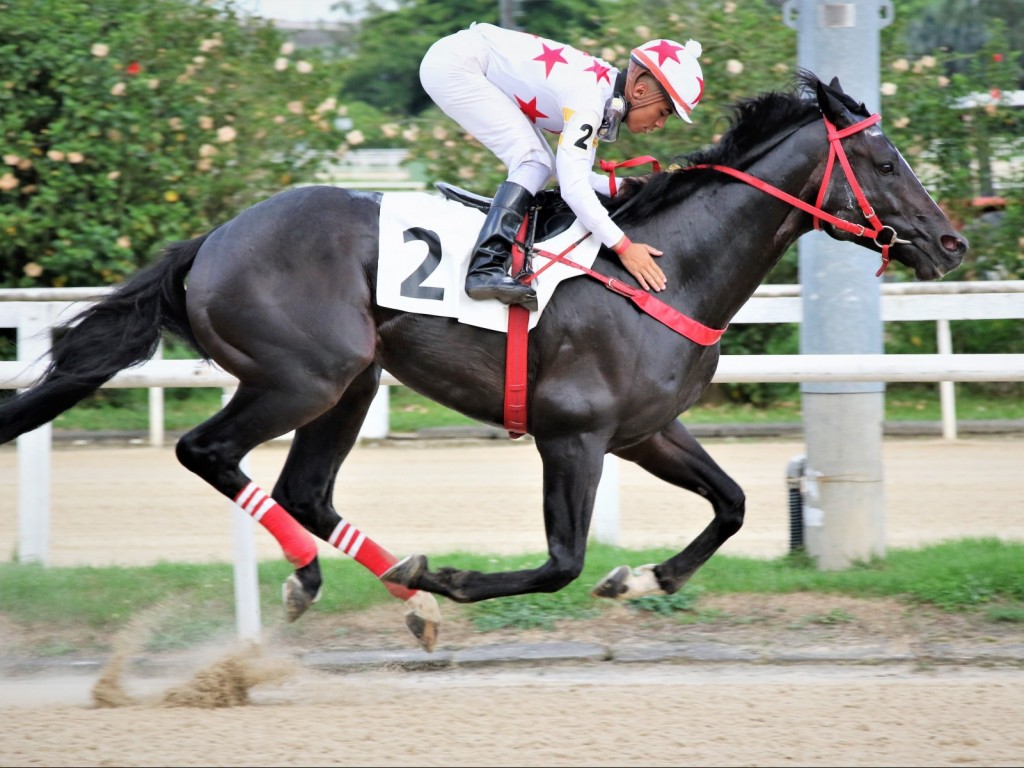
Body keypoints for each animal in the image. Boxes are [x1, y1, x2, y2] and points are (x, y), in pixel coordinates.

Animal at [0, 72, 962, 651]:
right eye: (883, 159)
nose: (950, 241)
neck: (668, 269)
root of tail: (214, 240)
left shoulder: (645, 431)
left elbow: (731, 503)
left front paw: (643, 577)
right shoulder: (572, 435)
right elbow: (561, 561)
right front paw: (458, 577)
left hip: (351, 382)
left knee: (307, 490)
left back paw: (404, 593)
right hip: (302, 375)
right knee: (209, 452)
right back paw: (326, 579)